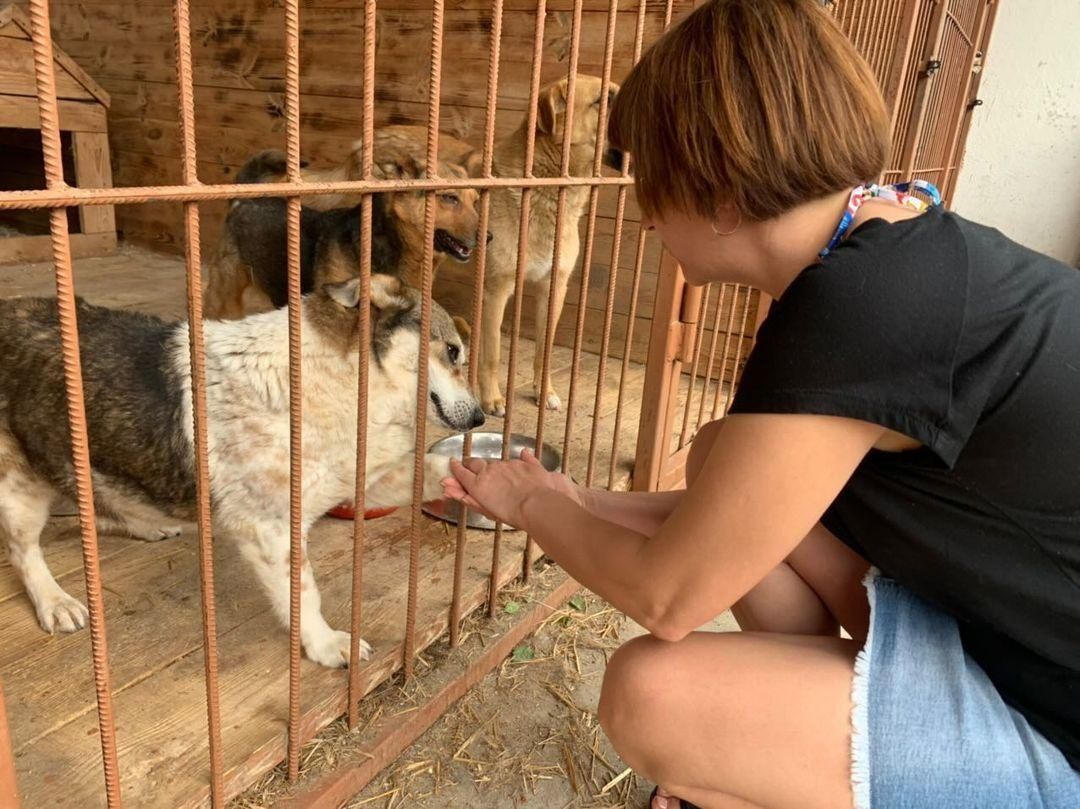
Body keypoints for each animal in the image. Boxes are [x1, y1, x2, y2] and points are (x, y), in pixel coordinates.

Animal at [0, 274, 481, 665]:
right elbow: (304, 593)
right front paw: (325, 645)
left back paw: (145, 523)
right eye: (452, 351)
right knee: (23, 551)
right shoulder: (270, 528)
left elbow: (431, 467)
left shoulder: (360, 481)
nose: (480, 418)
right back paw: (54, 601)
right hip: (21, 486)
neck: (338, 381)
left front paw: (474, 473)